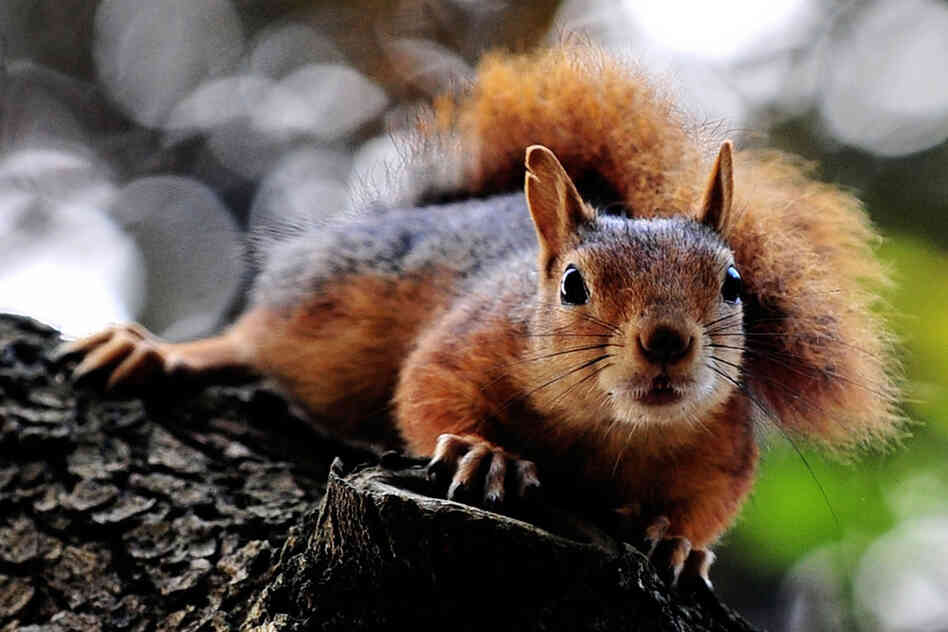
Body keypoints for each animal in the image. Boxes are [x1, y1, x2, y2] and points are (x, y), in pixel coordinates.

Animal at [59, 46, 902, 588]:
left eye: (731, 283)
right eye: (572, 285)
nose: (666, 341)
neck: (605, 427)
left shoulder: (722, 439)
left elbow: (711, 500)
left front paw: (682, 545)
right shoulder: (467, 340)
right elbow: (426, 393)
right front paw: (481, 452)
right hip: (328, 311)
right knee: (255, 338)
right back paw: (161, 352)